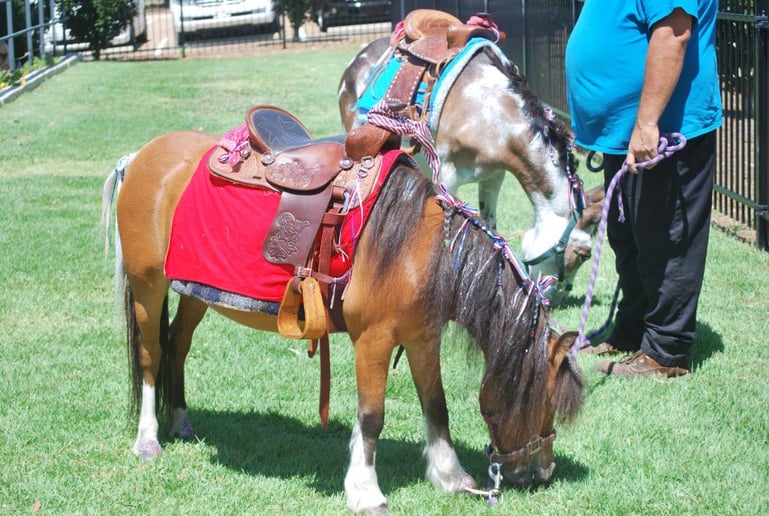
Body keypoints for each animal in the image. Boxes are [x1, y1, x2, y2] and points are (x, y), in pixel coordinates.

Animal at [105, 117, 584, 512]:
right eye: (542, 403)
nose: (543, 474)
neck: (418, 247)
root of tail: (140, 156)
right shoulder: (373, 339)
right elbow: (372, 418)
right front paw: (366, 492)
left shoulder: (421, 337)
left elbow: (437, 406)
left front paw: (450, 476)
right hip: (149, 285)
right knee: (150, 355)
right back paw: (148, 439)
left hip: (194, 291)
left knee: (177, 345)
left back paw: (180, 421)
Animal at [338, 33, 605, 303]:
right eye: (584, 254)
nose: (560, 296)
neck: (488, 112)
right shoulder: (446, 177)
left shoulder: (494, 177)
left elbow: (490, 227)